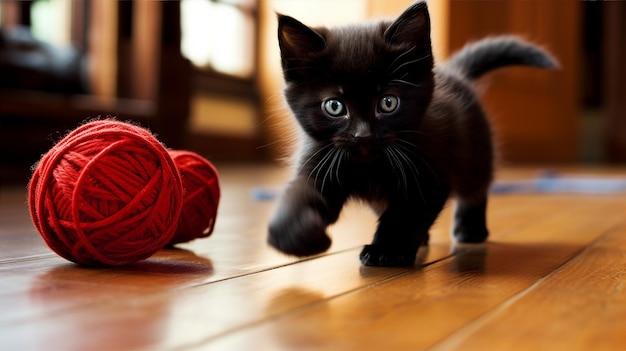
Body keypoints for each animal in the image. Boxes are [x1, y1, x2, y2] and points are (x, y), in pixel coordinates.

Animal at [268, 1, 556, 268]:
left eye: (388, 103)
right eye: (334, 106)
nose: (363, 136)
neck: (370, 166)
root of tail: (455, 73)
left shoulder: (428, 176)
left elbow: (404, 214)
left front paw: (386, 251)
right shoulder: (320, 160)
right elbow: (300, 197)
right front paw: (297, 237)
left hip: (474, 151)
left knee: (475, 188)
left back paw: (470, 229)